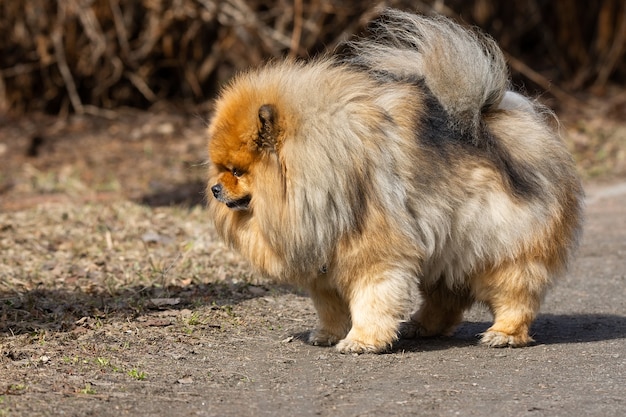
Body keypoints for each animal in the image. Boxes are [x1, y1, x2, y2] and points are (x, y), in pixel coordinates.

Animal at [207, 9, 584, 352]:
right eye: (220, 168)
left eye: (237, 171)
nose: (214, 188)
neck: (324, 167)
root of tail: (499, 117)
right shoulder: (325, 263)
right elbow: (330, 307)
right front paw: (328, 334)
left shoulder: (375, 255)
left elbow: (372, 301)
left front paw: (361, 341)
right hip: (448, 247)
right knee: (447, 297)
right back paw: (423, 326)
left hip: (501, 246)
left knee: (515, 291)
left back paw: (504, 334)